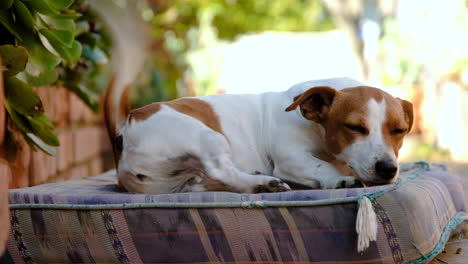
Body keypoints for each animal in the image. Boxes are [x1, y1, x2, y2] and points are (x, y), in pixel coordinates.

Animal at [105, 76, 414, 194]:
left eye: (399, 131)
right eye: (354, 127)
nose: (388, 169)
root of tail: (125, 131)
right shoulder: (291, 158)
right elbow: (321, 167)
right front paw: (340, 179)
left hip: (189, 180)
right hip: (207, 136)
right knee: (220, 169)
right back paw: (264, 183)